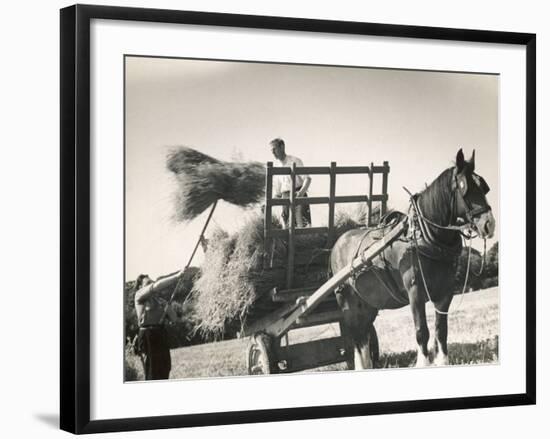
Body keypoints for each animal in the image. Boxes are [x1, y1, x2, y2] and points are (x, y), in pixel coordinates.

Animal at [332, 150, 496, 370]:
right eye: (464, 188)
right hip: (347, 301)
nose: (489, 224)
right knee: (356, 335)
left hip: (368, 303)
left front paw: (442, 361)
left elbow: (441, 329)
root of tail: (339, 241)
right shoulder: (415, 291)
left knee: (364, 333)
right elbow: (421, 330)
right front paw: (423, 363)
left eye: (484, 187)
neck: (423, 237)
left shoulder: (445, 292)